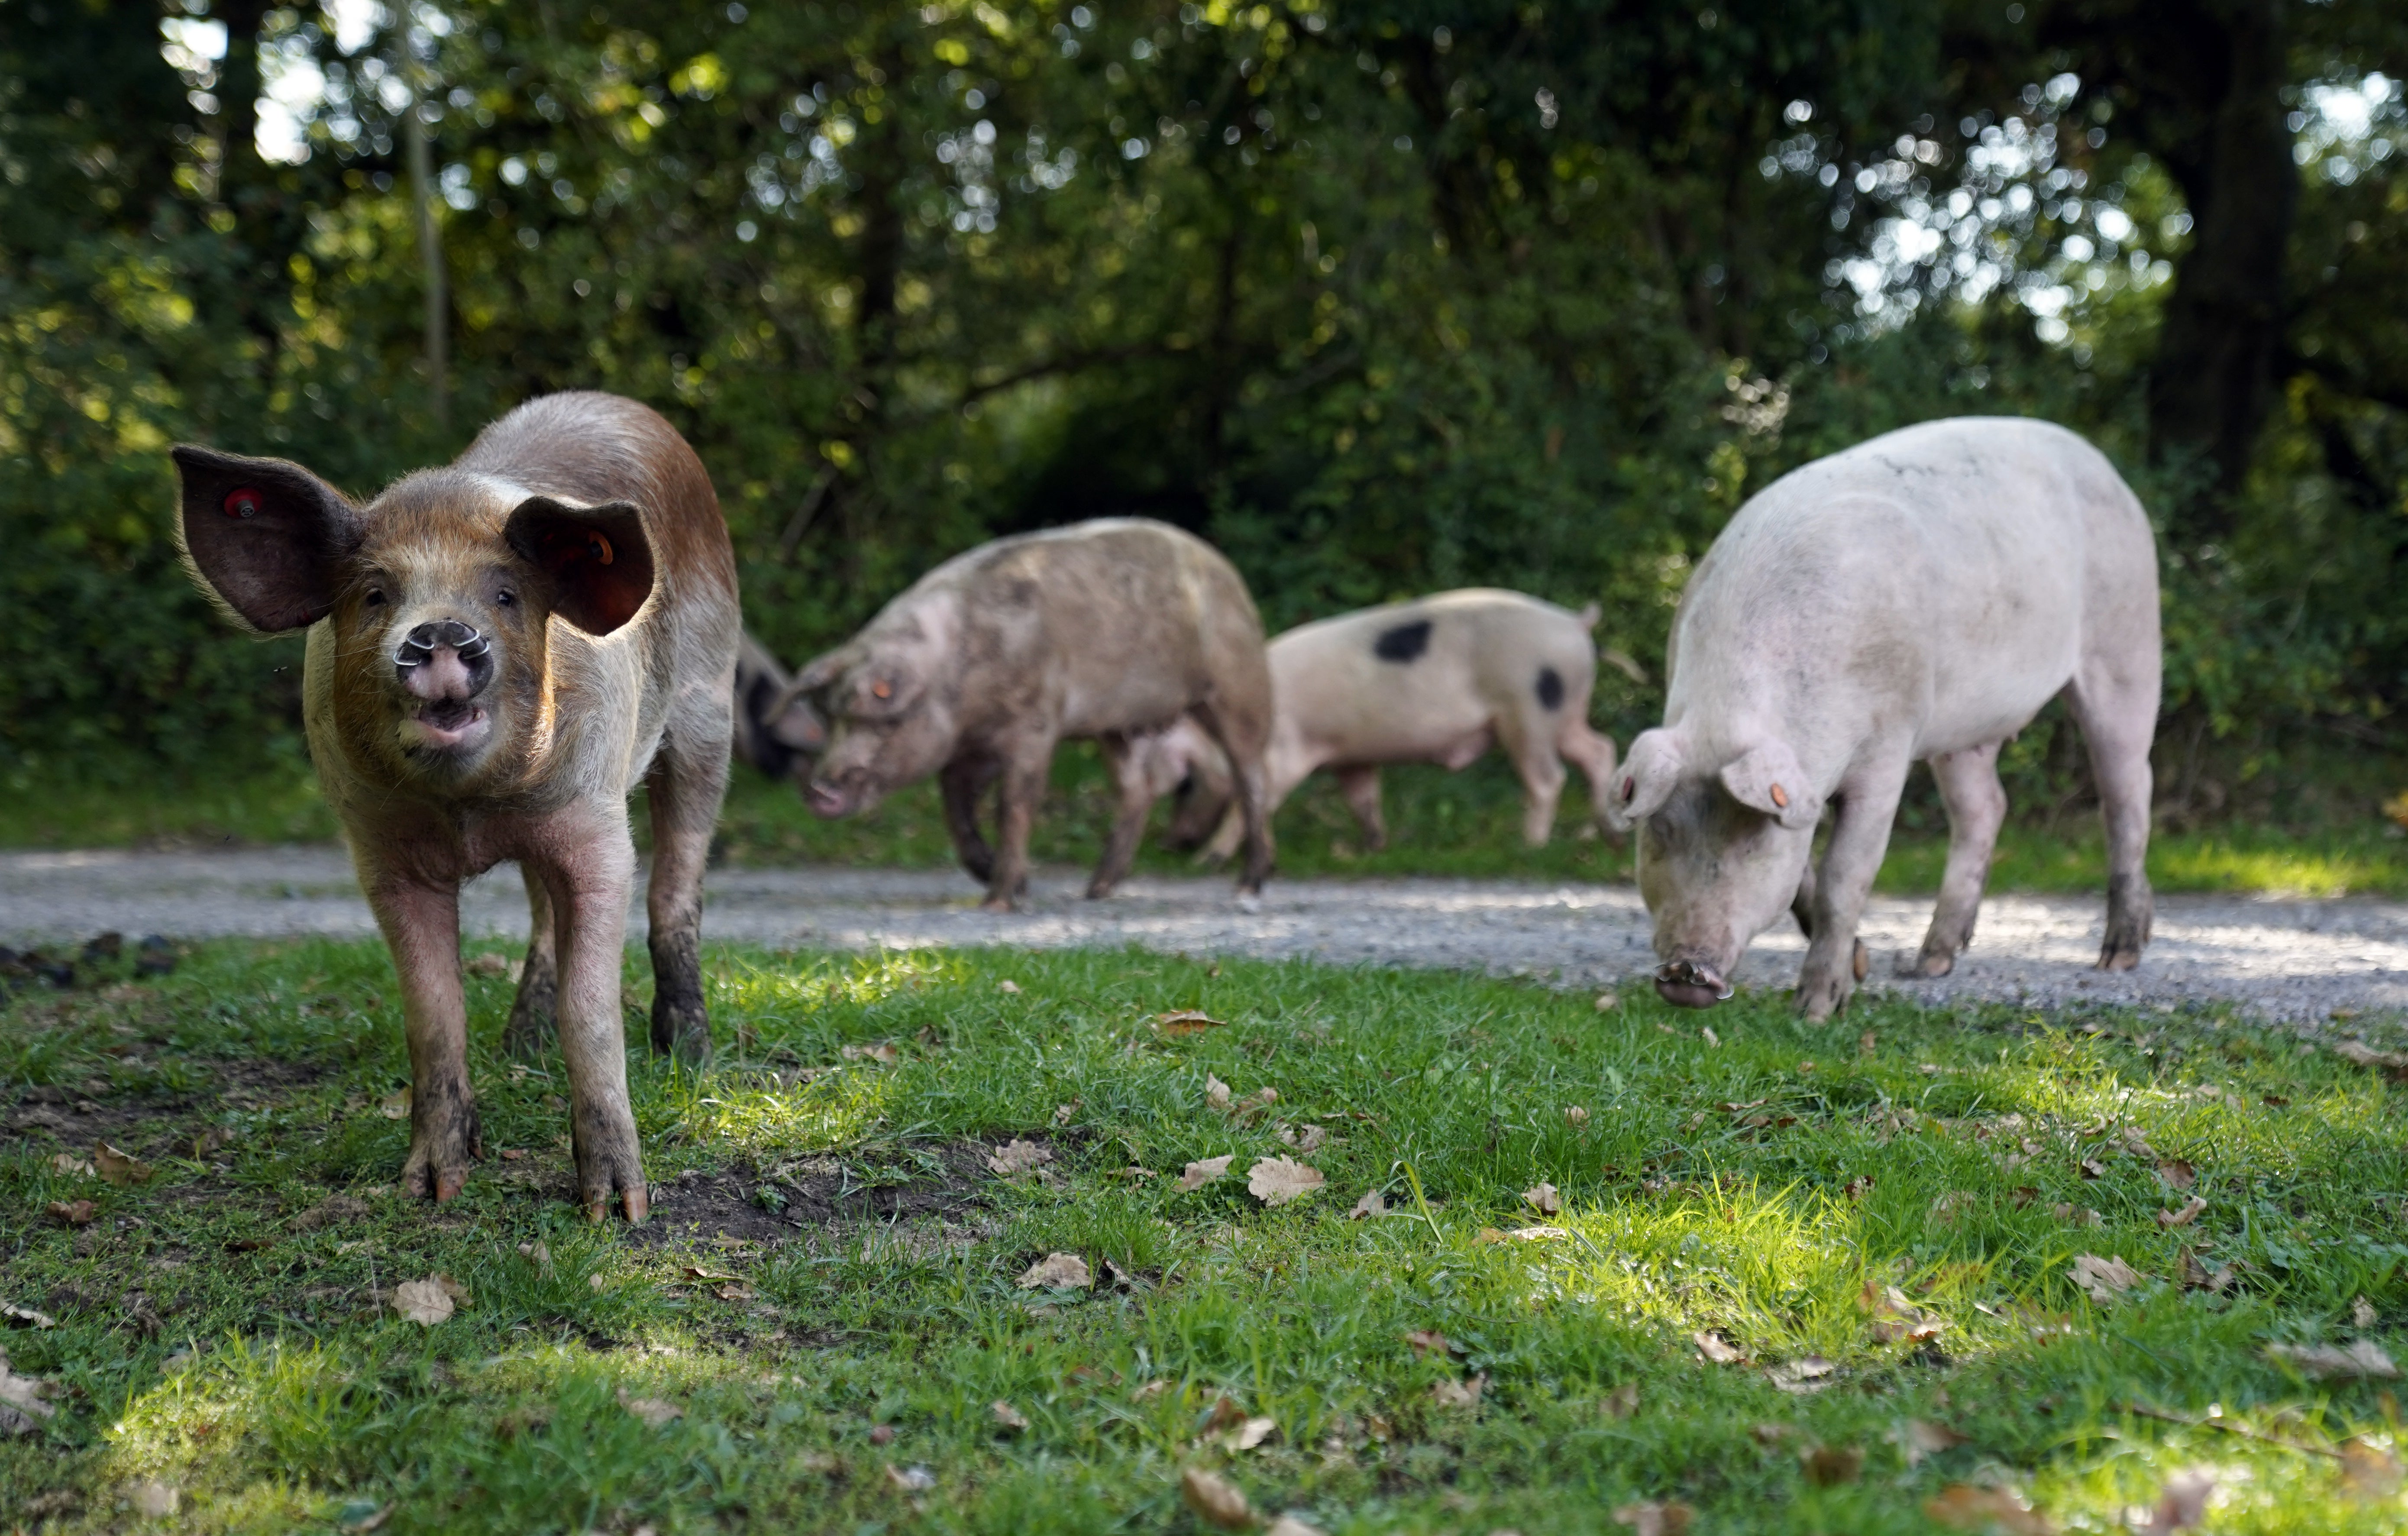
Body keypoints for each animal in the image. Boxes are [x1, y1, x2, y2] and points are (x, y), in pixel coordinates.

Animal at [173, 395, 737, 1228]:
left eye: (505, 595)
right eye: (376, 595)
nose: (440, 628)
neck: (467, 809)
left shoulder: (595, 824)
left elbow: (592, 1009)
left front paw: (617, 1210)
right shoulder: (380, 851)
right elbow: (433, 1014)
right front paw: (430, 1189)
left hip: (709, 711)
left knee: (677, 888)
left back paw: (688, 1055)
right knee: (541, 918)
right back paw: (521, 1047)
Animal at [780, 517, 1290, 910]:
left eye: (884, 720)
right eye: (832, 718)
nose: (819, 789)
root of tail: (1227, 572)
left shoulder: (1034, 723)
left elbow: (1014, 804)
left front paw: (999, 902)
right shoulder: (969, 748)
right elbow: (956, 806)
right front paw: (1004, 882)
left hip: (1239, 685)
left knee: (1252, 776)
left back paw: (1247, 888)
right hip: (1117, 725)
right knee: (1138, 789)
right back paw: (1095, 891)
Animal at [1199, 590, 1628, 862]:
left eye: (1189, 778)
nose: (1183, 848)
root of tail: (1574, 622)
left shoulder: (1285, 750)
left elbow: (1255, 799)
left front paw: (1210, 859)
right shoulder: (1349, 756)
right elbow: (1363, 798)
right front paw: (1374, 849)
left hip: (1530, 709)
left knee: (1547, 777)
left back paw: (1529, 848)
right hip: (1565, 712)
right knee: (1598, 748)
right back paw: (1611, 837)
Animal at [1608, 419, 2157, 1021]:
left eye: (1752, 842)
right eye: (1660, 831)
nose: (1686, 971)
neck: (1728, 716)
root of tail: (2103, 465)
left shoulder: (1887, 744)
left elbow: (1843, 875)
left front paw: (1816, 1008)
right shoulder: (1801, 788)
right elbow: (1807, 869)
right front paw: (1861, 966)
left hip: (2125, 643)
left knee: (2126, 790)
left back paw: (2117, 957)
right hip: (1962, 728)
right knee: (1985, 808)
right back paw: (1929, 963)